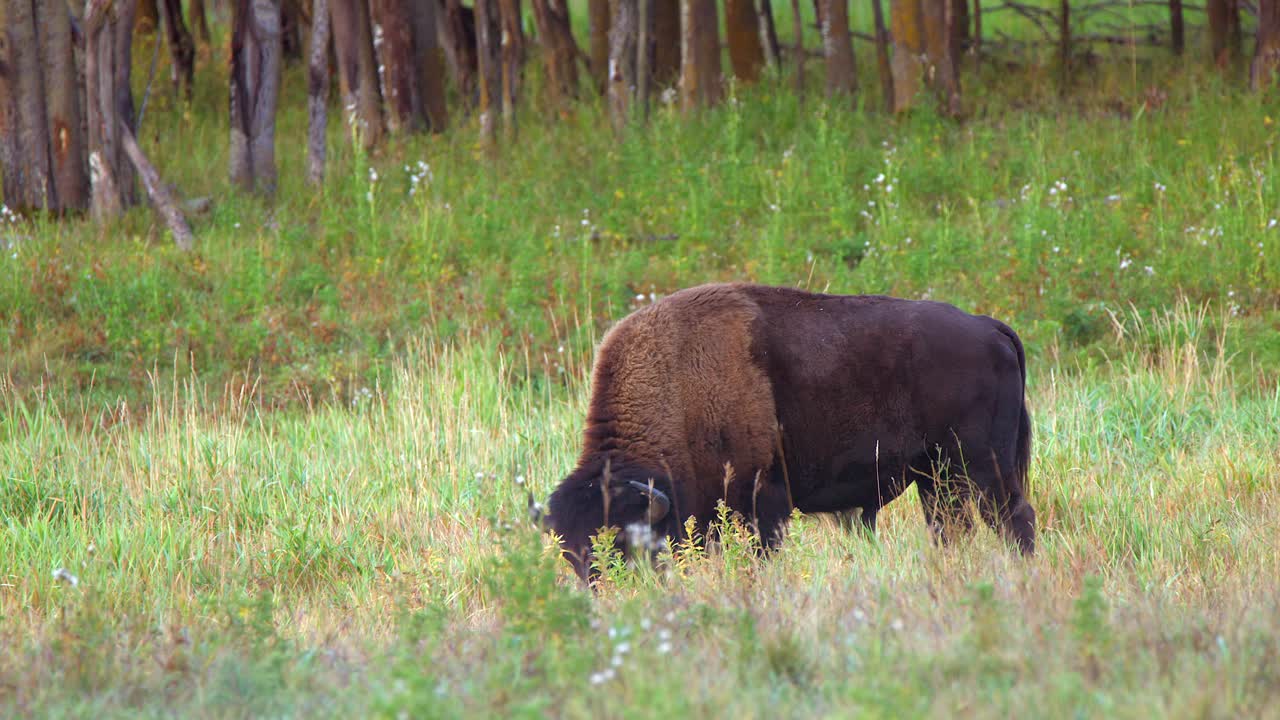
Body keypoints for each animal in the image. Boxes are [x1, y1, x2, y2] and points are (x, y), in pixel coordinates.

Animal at [533, 282, 1036, 580]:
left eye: (624, 545)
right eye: (569, 553)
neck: (679, 382)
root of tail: (988, 327)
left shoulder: (765, 501)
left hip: (983, 466)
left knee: (1013, 519)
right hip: (935, 477)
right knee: (951, 527)